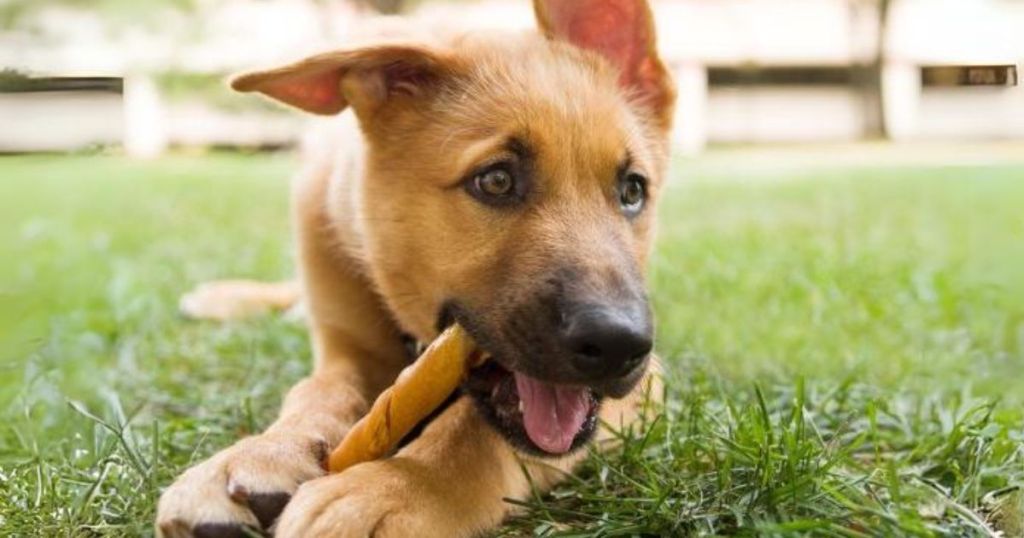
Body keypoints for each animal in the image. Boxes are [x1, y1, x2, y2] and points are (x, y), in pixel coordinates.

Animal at [155, 2, 675, 532]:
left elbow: (471, 434)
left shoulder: (645, 384)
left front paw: (385, 491)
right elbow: (316, 391)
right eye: (496, 180)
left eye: (633, 190)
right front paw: (260, 453)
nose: (619, 345)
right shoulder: (348, 351)